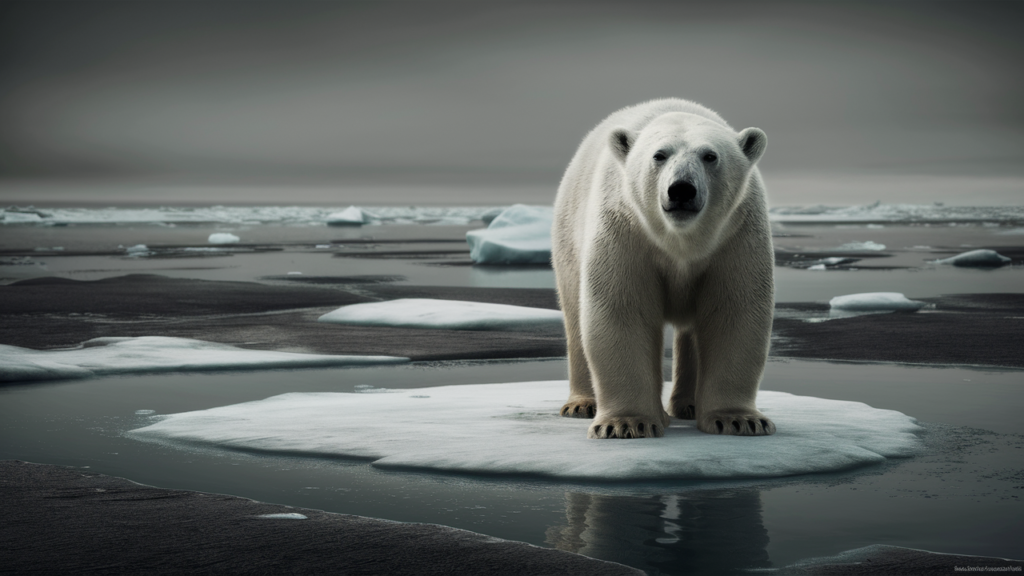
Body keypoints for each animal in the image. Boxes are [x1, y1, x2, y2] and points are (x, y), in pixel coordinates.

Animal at [552, 98, 774, 436]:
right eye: (659, 155)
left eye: (710, 155)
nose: (681, 189)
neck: (680, 239)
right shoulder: (625, 228)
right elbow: (623, 309)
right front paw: (626, 424)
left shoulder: (736, 233)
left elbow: (733, 311)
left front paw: (738, 420)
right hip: (569, 238)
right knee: (575, 318)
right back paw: (582, 404)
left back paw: (689, 405)